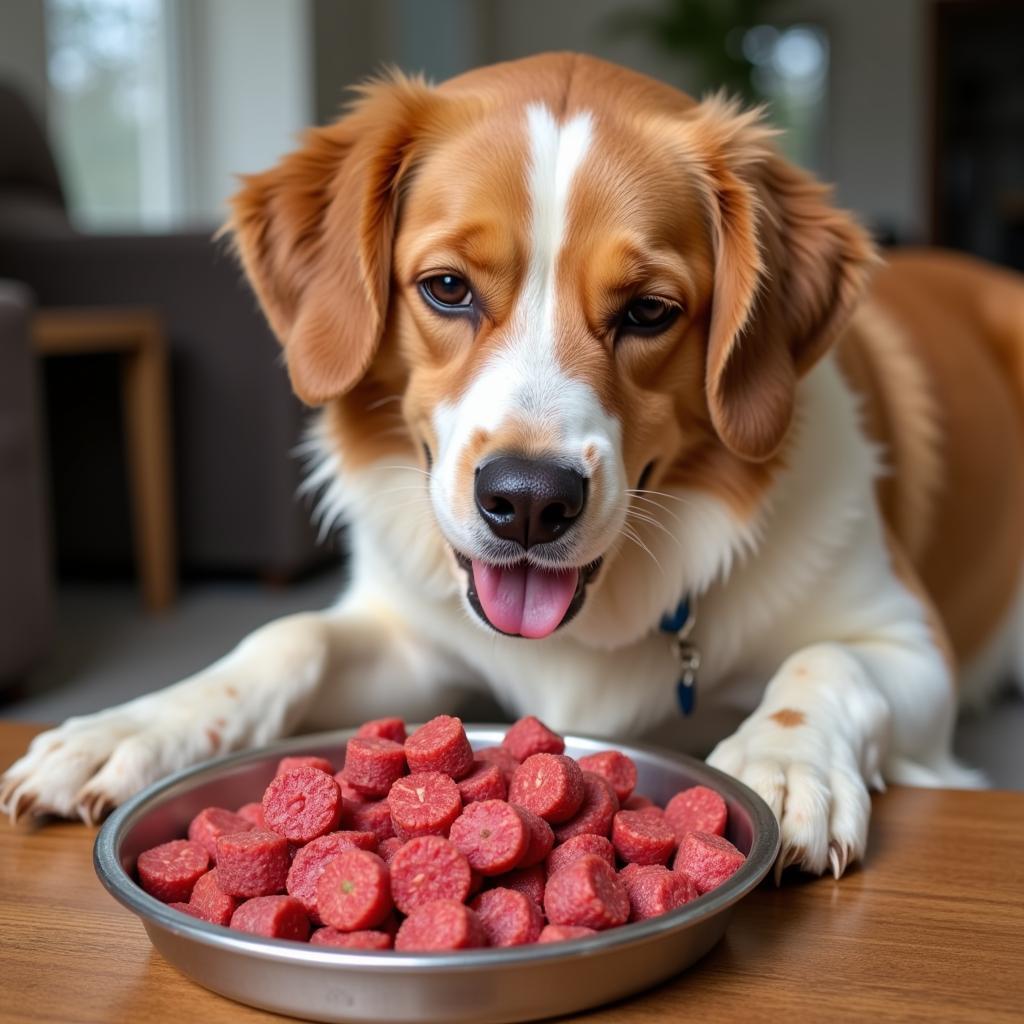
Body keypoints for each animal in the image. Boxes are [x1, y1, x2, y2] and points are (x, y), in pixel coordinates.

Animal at [2, 51, 1024, 876]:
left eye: (650, 311)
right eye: (447, 288)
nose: (528, 501)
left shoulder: (909, 644)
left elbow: (824, 664)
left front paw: (781, 763)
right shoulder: (412, 638)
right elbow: (284, 640)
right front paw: (134, 725)